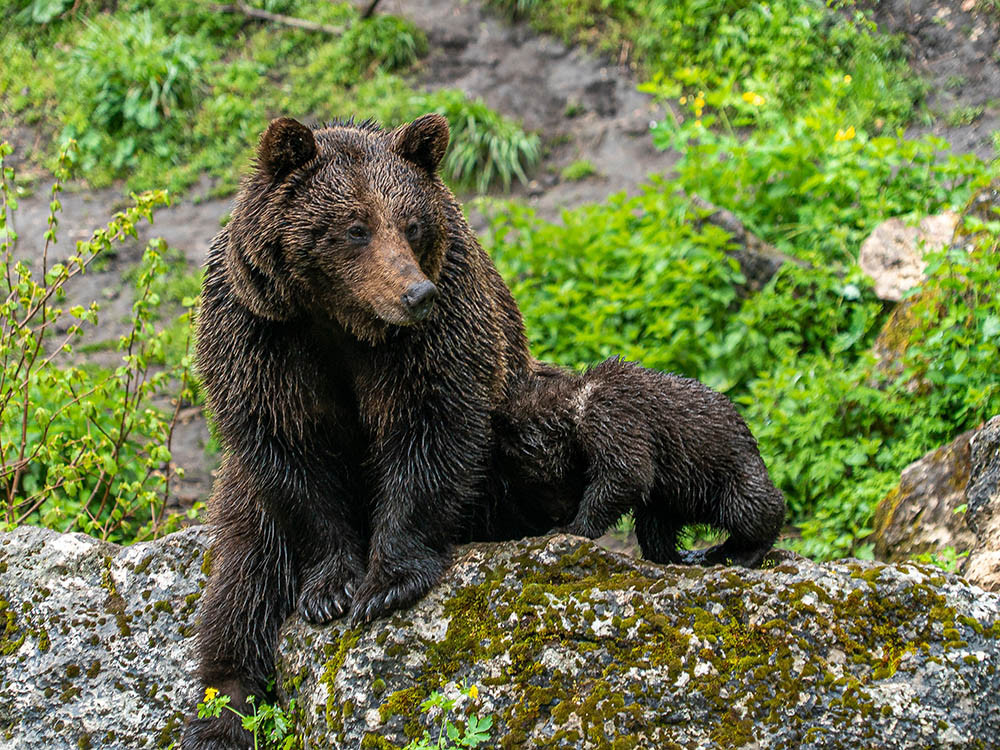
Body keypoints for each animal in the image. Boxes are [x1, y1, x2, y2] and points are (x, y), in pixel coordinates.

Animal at [183, 114, 536, 748]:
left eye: (412, 223)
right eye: (354, 227)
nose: (415, 294)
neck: (339, 316)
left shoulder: (435, 333)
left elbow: (430, 429)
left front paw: (386, 583)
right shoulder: (261, 337)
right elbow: (294, 459)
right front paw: (331, 591)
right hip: (243, 504)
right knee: (242, 587)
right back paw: (224, 709)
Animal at [496, 362, 784, 568]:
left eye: (534, 482)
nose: (556, 515)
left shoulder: (616, 417)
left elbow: (627, 473)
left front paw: (570, 528)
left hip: (727, 471)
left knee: (751, 507)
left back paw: (739, 552)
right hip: (677, 493)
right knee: (654, 524)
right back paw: (680, 556)